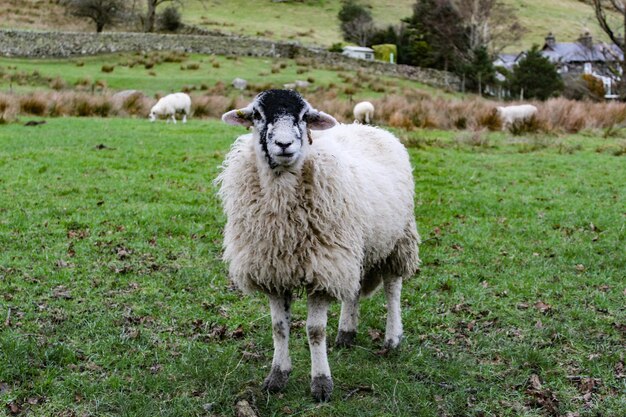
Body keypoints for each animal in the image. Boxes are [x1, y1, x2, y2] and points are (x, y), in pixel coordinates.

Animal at [218, 89, 420, 402]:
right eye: (257, 115)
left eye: (304, 117)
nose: (284, 144)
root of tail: (369, 127)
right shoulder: (274, 270)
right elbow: (279, 327)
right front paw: (277, 377)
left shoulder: (322, 268)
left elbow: (314, 330)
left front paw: (321, 383)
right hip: (355, 246)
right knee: (354, 289)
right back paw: (346, 333)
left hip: (398, 239)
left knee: (392, 288)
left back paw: (392, 338)